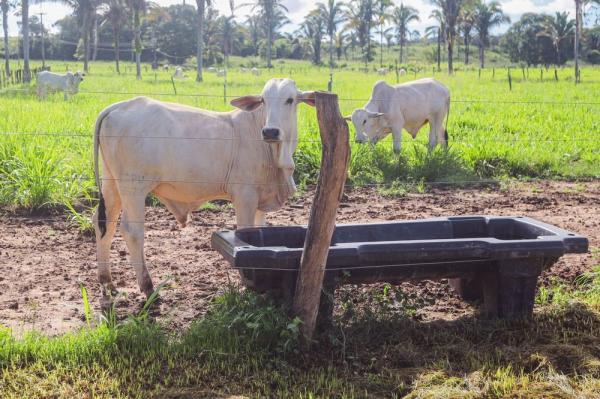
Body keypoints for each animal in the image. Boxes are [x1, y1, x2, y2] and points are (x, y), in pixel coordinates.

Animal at [92, 77, 316, 304]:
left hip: (111, 183)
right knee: (132, 231)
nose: (270, 131)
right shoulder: (245, 197)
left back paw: (107, 282)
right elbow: (245, 231)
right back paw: (148, 287)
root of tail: (121, 105)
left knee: (105, 224)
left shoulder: (262, 200)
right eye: (263, 100)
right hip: (133, 187)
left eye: (290, 99)